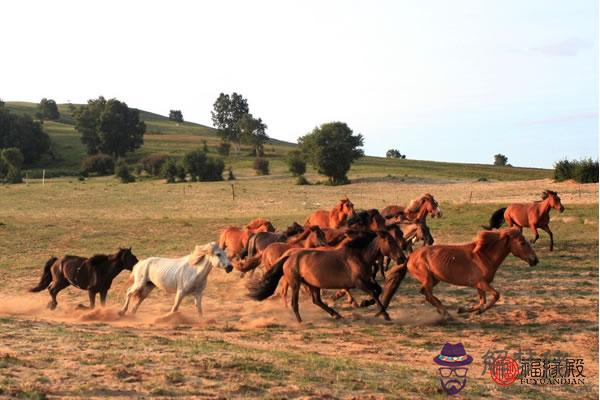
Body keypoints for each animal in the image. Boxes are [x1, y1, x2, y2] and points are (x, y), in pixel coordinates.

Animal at [246, 231, 406, 322]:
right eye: (390, 242)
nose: (402, 258)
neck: (360, 256)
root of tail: (289, 256)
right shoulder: (359, 283)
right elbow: (373, 293)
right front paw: (384, 314)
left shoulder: (367, 280)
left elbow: (378, 290)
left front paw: (367, 303)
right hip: (296, 284)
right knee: (295, 302)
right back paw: (300, 321)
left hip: (313, 285)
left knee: (317, 300)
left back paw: (336, 315)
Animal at [380, 230, 540, 318]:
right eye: (523, 243)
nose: (535, 260)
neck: (483, 256)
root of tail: (410, 257)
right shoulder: (482, 283)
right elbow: (496, 295)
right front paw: (478, 311)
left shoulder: (479, 285)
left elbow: (482, 301)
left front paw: (465, 310)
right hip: (427, 278)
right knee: (427, 292)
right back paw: (445, 313)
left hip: (435, 279)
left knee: (426, 293)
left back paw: (443, 311)